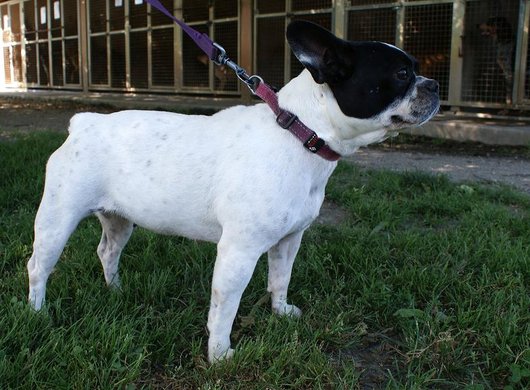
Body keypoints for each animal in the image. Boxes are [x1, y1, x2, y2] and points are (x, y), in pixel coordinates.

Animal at [25, 21, 438, 362]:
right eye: (402, 74)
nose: (433, 84)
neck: (301, 132)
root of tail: (84, 123)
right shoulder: (239, 251)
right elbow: (225, 308)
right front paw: (220, 354)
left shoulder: (289, 240)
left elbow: (280, 278)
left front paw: (281, 312)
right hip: (57, 219)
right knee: (38, 267)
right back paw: (37, 314)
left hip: (119, 219)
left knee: (107, 251)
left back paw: (117, 291)